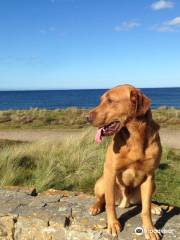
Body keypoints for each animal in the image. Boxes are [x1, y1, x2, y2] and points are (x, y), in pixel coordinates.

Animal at [86, 84, 162, 240]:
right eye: (101, 100)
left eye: (110, 101)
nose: (86, 118)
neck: (135, 136)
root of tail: (125, 203)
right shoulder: (110, 171)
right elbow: (109, 203)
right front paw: (113, 224)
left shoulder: (149, 175)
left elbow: (145, 209)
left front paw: (150, 228)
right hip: (101, 181)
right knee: (102, 199)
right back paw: (95, 206)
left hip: (153, 184)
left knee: (144, 202)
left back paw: (154, 206)